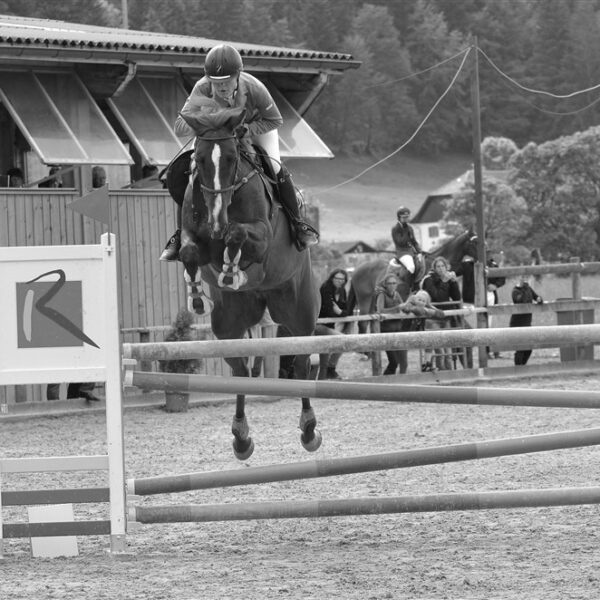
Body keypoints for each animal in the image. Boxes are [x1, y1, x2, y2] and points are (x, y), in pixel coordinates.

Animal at [175, 103, 321, 460]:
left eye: (230, 158)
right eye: (199, 159)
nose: (216, 220)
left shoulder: (261, 236)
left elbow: (238, 235)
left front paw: (231, 268)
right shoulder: (194, 236)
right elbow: (188, 250)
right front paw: (197, 293)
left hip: (299, 312)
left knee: (300, 362)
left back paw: (309, 430)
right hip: (228, 323)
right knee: (240, 370)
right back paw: (241, 438)